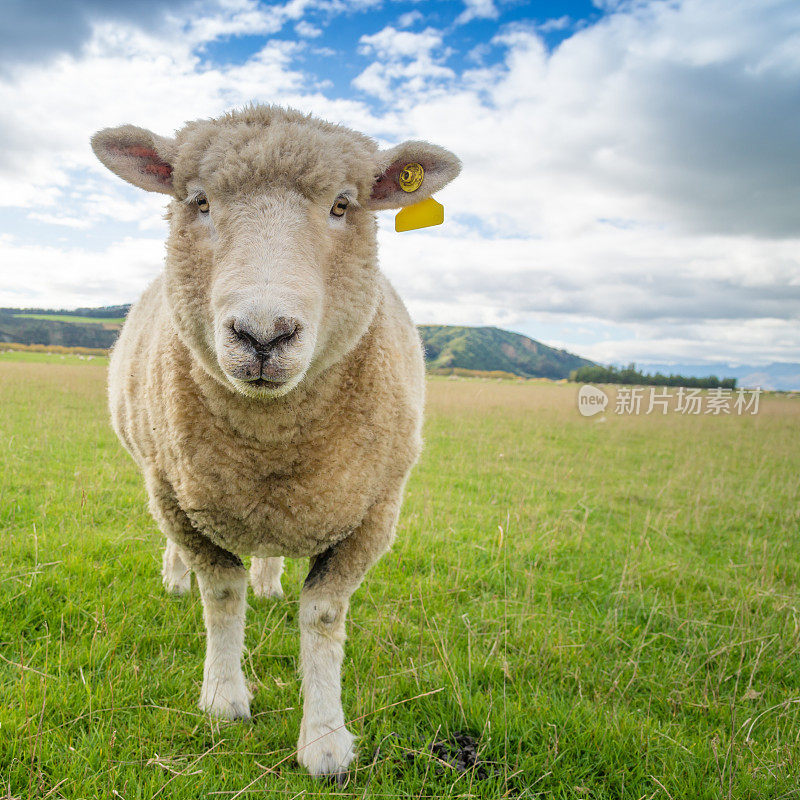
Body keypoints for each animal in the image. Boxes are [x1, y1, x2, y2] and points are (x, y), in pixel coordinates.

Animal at [88, 106, 462, 780]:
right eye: (200, 202)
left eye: (342, 205)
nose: (263, 336)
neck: (270, 442)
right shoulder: (177, 496)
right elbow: (220, 593)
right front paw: (224, 699)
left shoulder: (375, 510)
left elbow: (322, 615)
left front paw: (325, 741)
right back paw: (177, 579)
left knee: (269, 547)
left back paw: (269, 580)